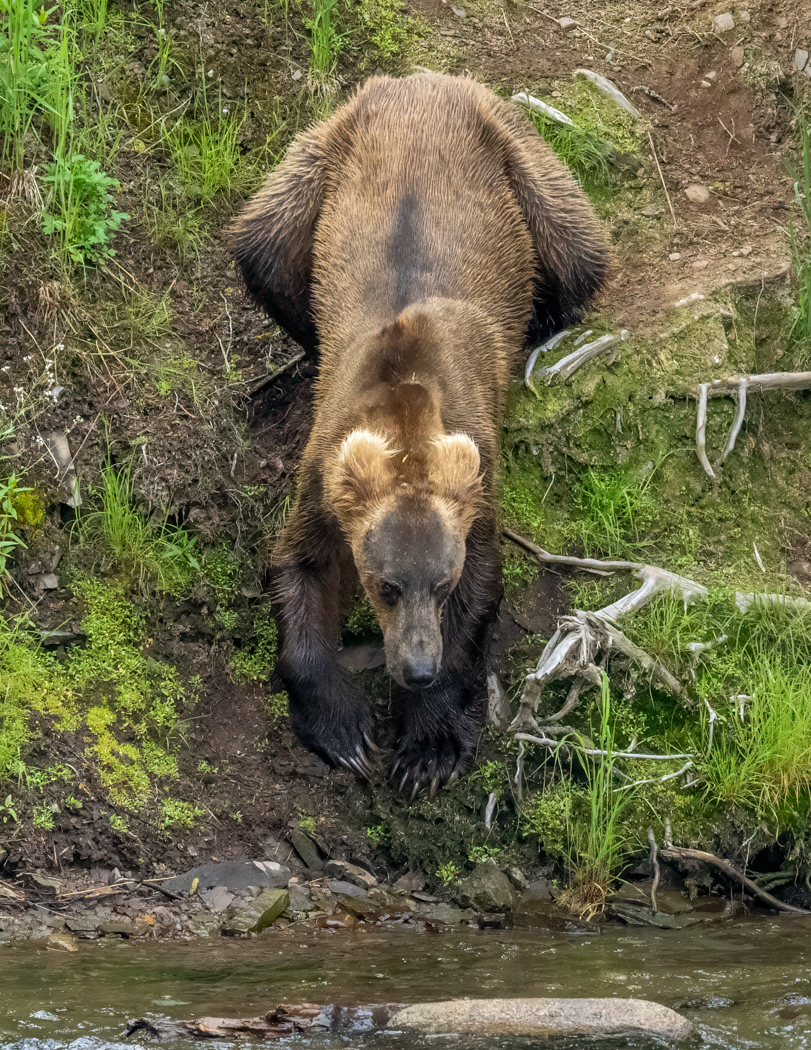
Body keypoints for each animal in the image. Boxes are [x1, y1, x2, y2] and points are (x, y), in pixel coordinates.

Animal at [233, 71, 608, 799]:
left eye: (441, 582)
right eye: (383, 584)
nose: (416, 667)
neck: (405, 411)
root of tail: (421, 81)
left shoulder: (476, 479)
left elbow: (483, 588)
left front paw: (427, 747)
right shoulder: (326, 470)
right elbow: (298, 567)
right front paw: (345, 732)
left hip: (514, 157)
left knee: (577, 251)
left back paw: (547, 315)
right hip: (320, 162)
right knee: (262, 252)